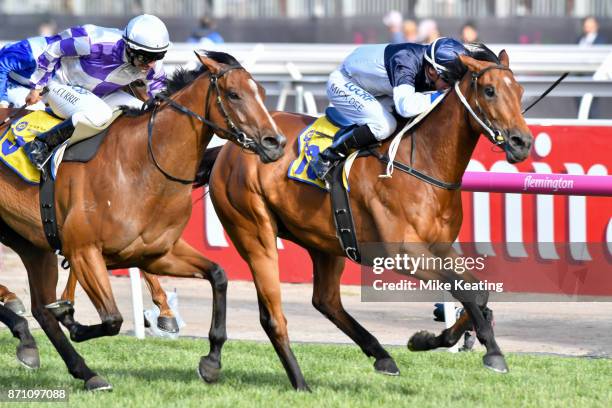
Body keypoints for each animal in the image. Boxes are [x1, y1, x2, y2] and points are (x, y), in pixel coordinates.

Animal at [0, 49, 284, 390]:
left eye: (263, 93)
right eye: (234, 94)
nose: (275, 143)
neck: (142, 165)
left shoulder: (156, 253)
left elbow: (218, 275)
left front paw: (211, 361)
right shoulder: (83, 250)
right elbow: (112, 319)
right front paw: (74, 321)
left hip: (31, 244)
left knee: (40, 311)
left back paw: (67, 362)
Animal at [208, 46, 532, 390]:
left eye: (519, 90)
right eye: (490, 90)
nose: (522, 142)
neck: (423, 162)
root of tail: (229, 149)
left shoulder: (440, 248)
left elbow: (477, 291)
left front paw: (427, 339)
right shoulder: (403, 254)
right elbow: (467, 291)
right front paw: (493, 352)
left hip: (324, 241)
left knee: (326, 300)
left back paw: (382, 355)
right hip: (254, 232)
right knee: (274, 312)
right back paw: (296, 380)